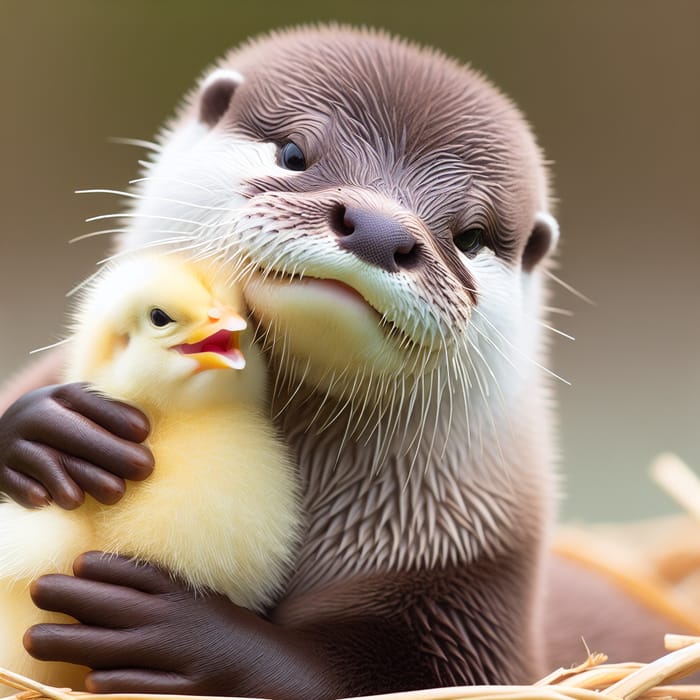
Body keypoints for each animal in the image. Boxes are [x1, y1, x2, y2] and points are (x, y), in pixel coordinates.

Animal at [0, 26, 560, 696]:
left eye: (471, 236)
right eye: (293, 153)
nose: (378, 229)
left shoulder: (468, 587)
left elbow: (369, 673)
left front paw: (189, 635)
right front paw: (54, 430)